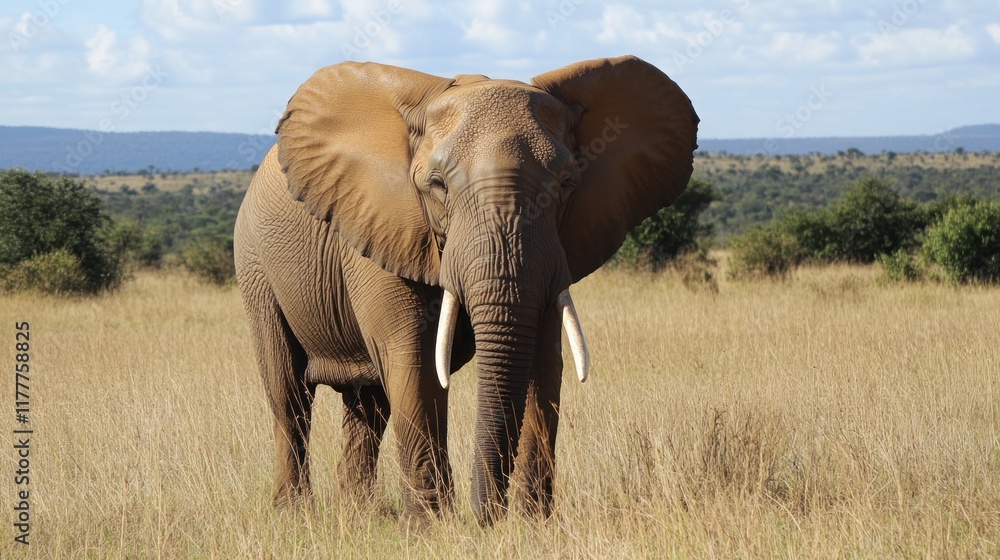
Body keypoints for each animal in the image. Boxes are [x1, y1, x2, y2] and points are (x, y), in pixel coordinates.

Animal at [234, 55, 698, 527]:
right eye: (437, 185)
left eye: (568, 183)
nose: (486, 518)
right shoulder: (382, 225)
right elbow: (414, 360)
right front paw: (430, 528)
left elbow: (543, 362)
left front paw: (532, 525)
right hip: (255, 265)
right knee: (289, 394)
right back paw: (295, 514)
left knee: (368, 405)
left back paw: (357, 515)